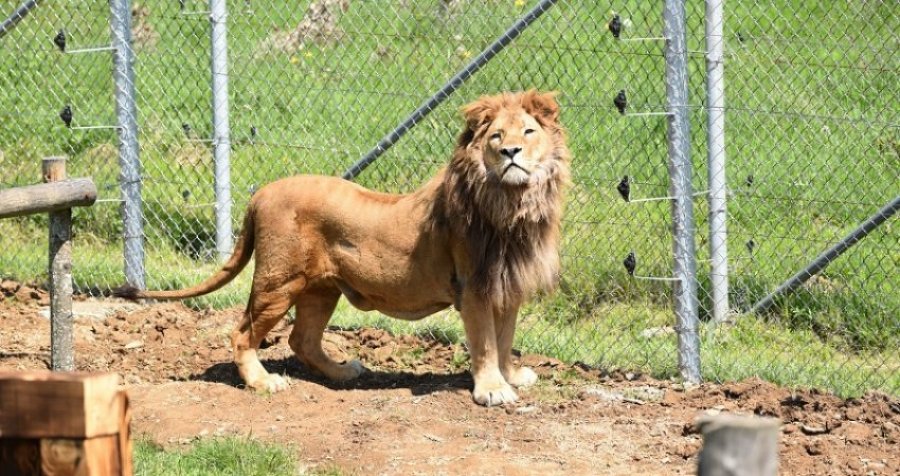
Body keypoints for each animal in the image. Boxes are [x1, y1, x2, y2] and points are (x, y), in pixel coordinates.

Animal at [118, 90, 568, 406]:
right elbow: (486, 342)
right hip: (278, 282)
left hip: (320, 289)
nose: (511, 153)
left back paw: (342, 373)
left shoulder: (507, 287)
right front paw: (492, 389)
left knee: (301, 340)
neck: (514, 204)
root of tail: (260, 193)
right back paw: (263, 382)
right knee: (242, 333)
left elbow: (505, 339)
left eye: (529, 132)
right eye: (496, 137)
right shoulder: (473, 287)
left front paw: (512, 376)